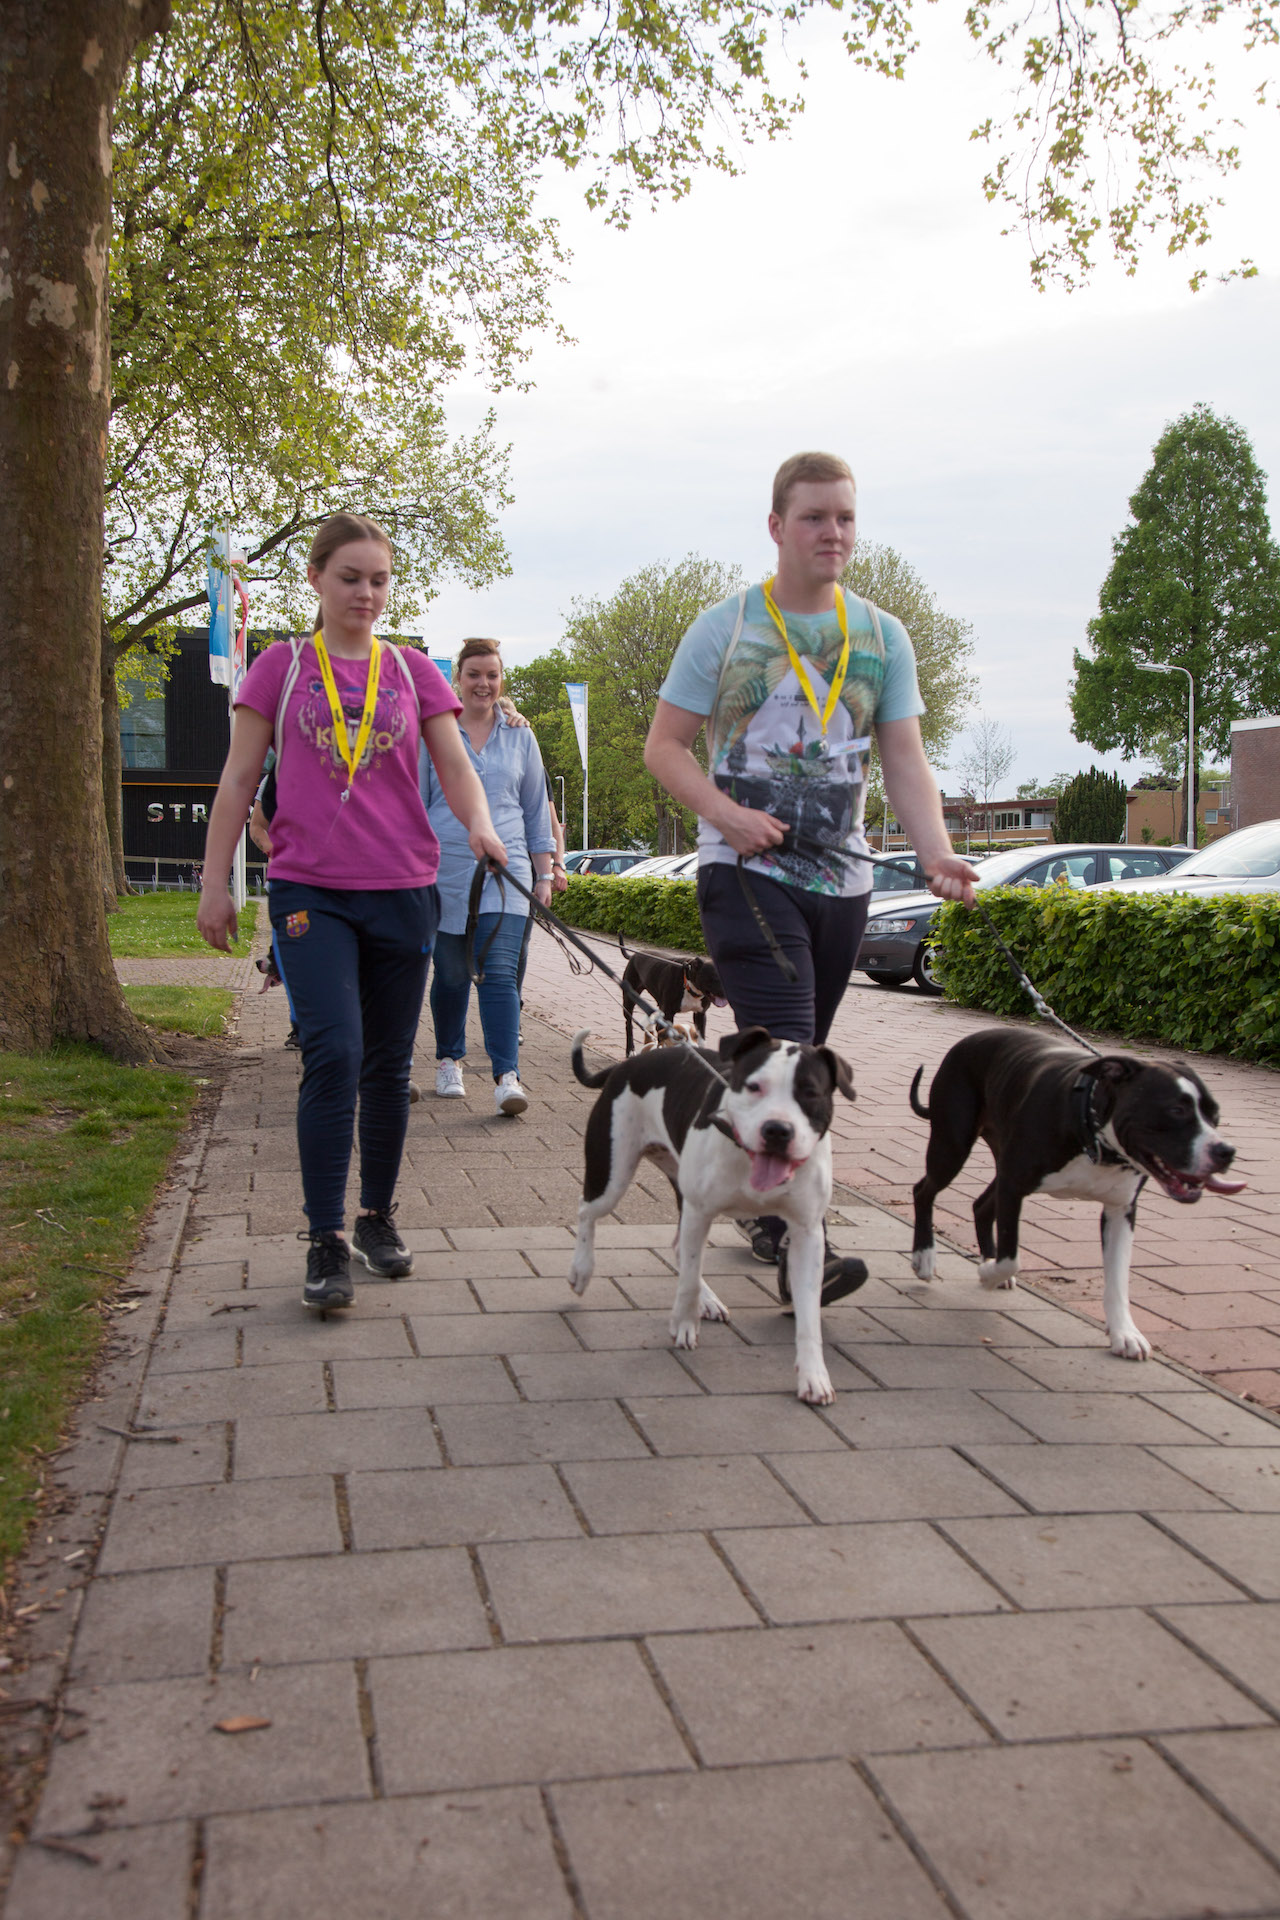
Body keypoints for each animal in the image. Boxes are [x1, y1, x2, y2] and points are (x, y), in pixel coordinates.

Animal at [569, 1025, 855, 1403]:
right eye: (754, 1086)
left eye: (810, 1093)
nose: (777, 1130)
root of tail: (626, 1065)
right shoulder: (700, 1210)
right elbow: (689, 1279)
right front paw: (683, 1325)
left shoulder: (807, 1233)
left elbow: (809, 1314)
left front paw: (813, 1376)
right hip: (614, 1176)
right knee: (587, 1211)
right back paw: (582, 1271)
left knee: (680, 1246)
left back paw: (708, 1301)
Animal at [908, 1030, 1243, 1359]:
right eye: (1176, 1110)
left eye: (1215, 1115)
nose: (1225, 1151)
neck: (1096, 1137)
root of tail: (970, 1039)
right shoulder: (1014, 1186)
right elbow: (1011, 1257)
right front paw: (989, 1273)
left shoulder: (1121, 1210)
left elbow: (1118, 1278)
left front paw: (1124, 1333)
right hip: (952, 1145)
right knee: (923, 1190)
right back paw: (925, 1256)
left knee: (981, 1206)